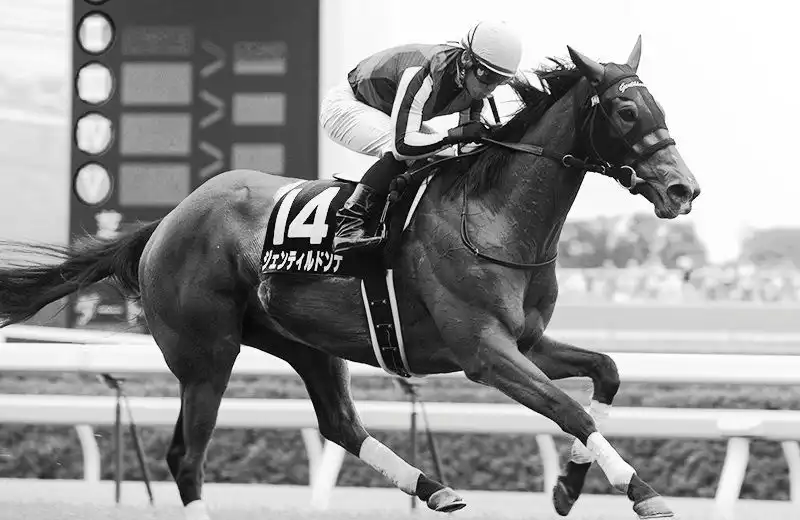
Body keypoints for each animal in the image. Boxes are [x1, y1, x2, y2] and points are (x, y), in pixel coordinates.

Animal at [0, 37, 699, 519]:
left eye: (658, 104)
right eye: (626, 110)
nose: (682, 189)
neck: (492, 214)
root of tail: (168, 220)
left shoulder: (526, 342)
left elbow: (605, 375)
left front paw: (566, 488)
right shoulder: (484, 352)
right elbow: (570, 411)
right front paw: (643, 492)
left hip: (306, 343)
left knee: (339, 424)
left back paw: (435, 490)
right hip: (206, 355)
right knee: (186, 455)